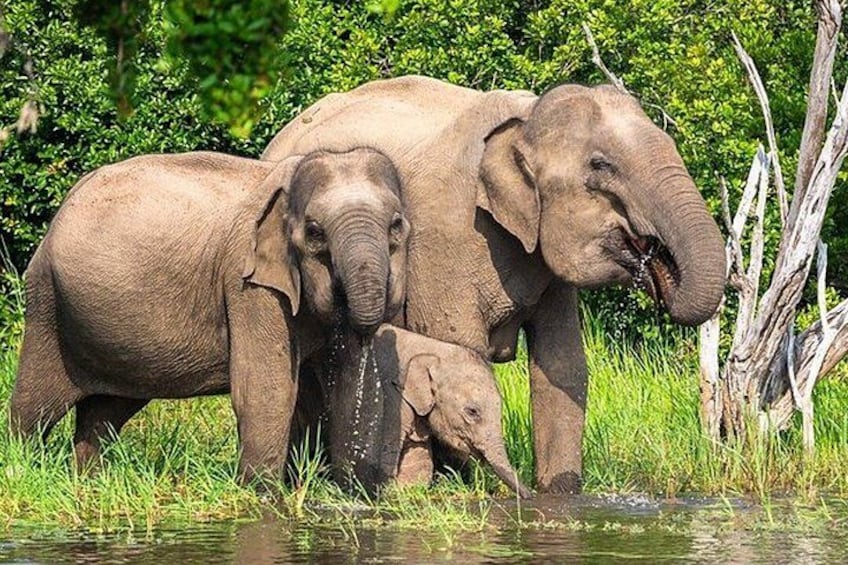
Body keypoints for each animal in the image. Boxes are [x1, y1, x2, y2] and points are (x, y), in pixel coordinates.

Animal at [9, 148, 410, 482]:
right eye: (314, 232)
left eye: (396, 226)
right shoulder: (246, 283)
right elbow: (266, 389)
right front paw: (263, 497)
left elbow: (346, 385)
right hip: (47, 303)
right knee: (33, 410)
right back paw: (23, 471)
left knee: (104, 413)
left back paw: (91, 481)